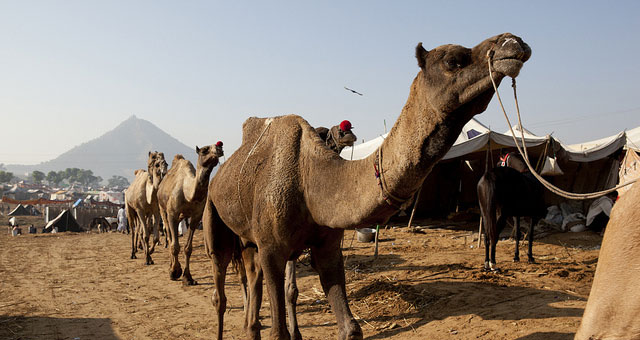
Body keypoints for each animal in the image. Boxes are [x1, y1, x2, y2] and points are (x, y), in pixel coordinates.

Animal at [156, 142, 224, 286]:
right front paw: (175, 272)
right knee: (169, 237)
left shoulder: (196, 217)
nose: (219, 146)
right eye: (204, 150)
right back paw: (171, 267)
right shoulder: (172, 214)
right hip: (162, 209)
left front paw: (188, 278)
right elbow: (175, 245)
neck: (188, 193)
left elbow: (188, 248)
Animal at [204, 32, 528, 340]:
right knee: (220, 287)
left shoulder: (328, 244)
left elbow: (350, 328)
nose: (513, 42)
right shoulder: (272, 249)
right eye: (453, 60)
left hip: (248, 241)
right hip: (215, 218)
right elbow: (279, 332)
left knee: (250, 277)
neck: (311, 181)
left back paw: (250, 326)